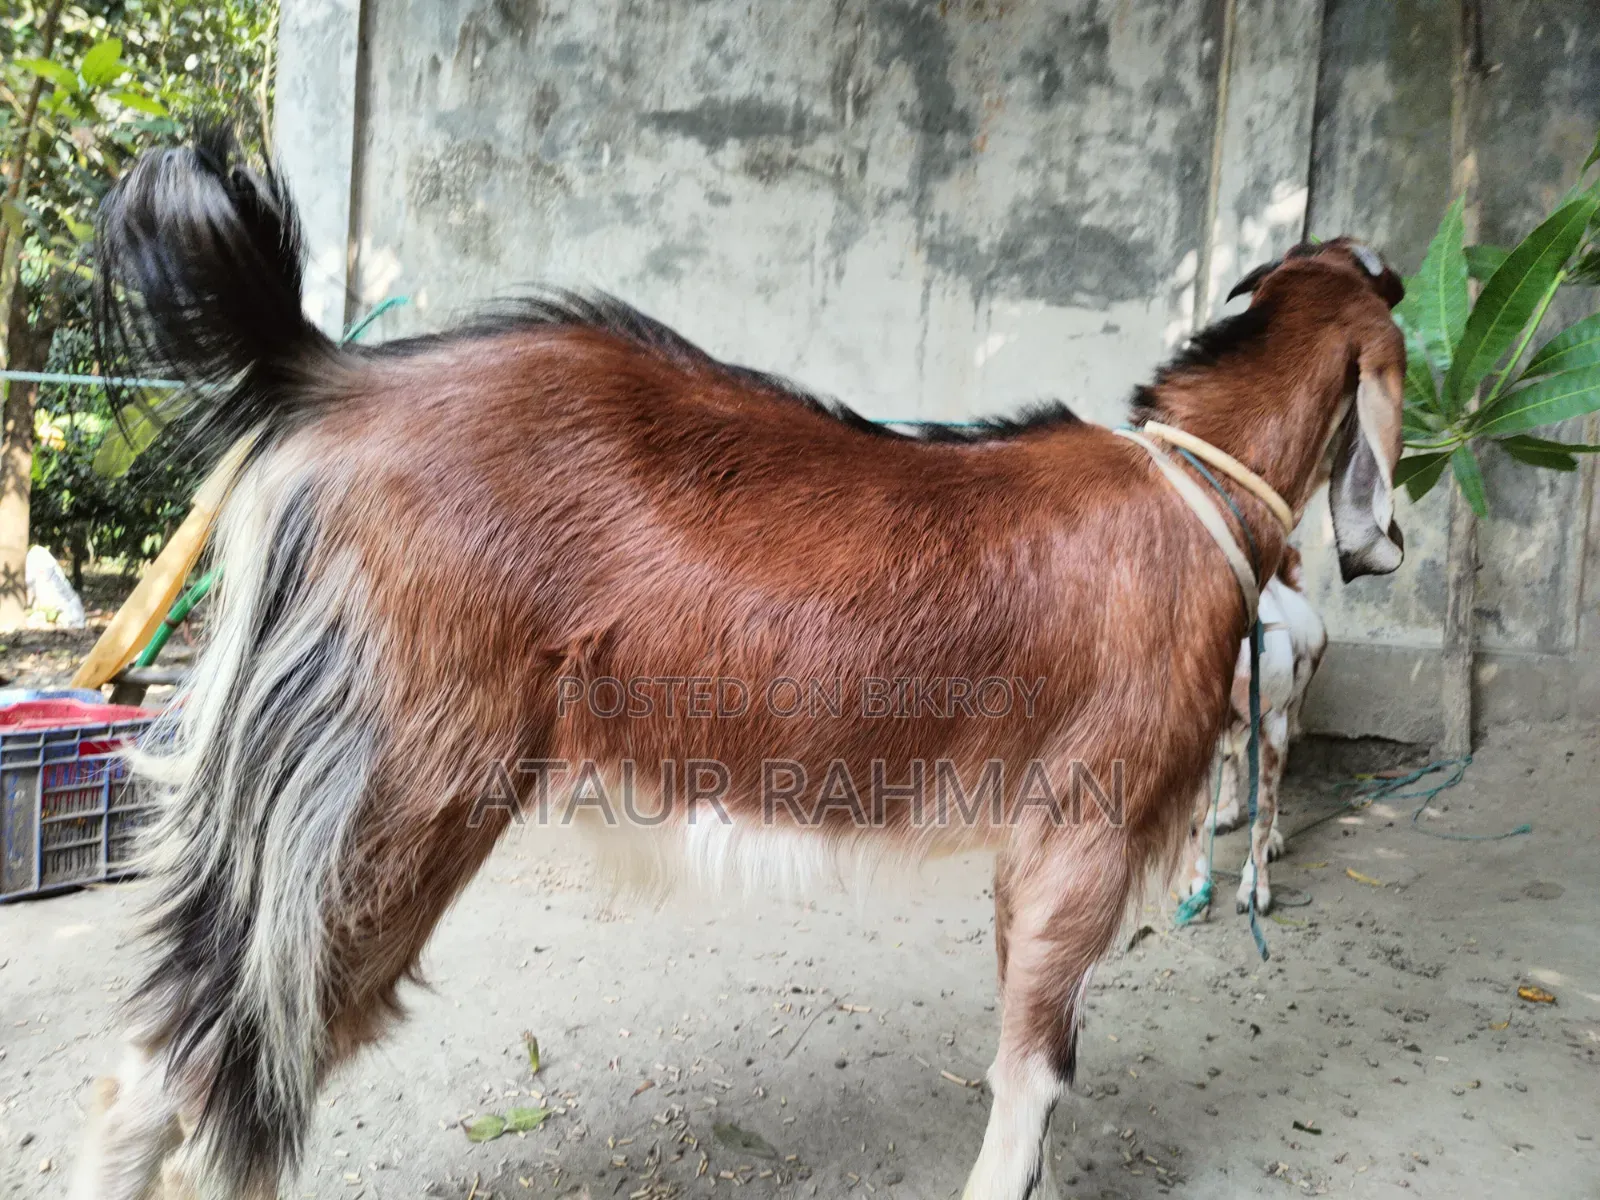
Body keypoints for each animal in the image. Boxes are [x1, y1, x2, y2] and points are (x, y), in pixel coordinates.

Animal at [1185, 547, 1328, 916]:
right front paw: (1196, 885)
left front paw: (1255, 885)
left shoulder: (1273, 726)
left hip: (1287, 719)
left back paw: (1273, 839)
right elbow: (1193, 817)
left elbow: (1262, 812)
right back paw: (1224, 812)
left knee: (1272, 790)